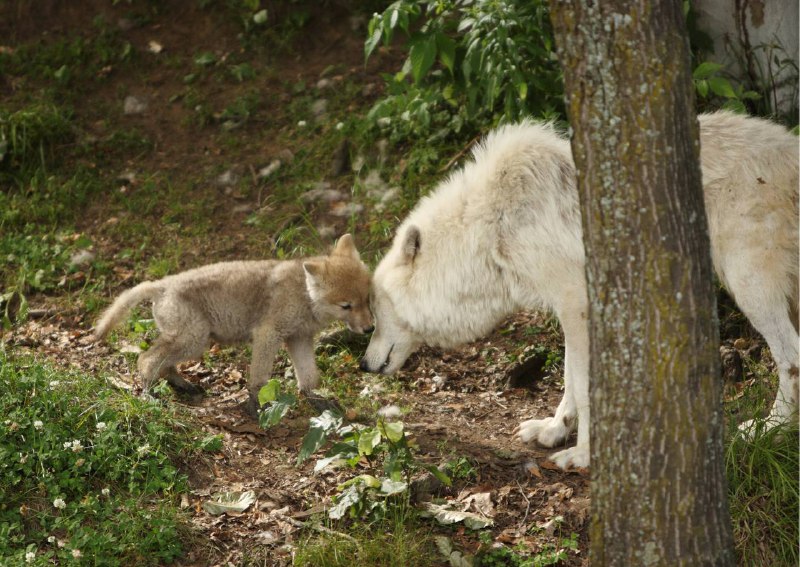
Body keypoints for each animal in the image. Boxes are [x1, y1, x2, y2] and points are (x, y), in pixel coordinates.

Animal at [364, 111, 800, 470]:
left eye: (376, 310)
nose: (364, 365)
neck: (491, 226)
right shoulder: (570, 307)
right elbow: (570, 379)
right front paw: (554, 430)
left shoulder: (577, 305)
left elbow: (585, 388)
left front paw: (585, 455)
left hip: (747, 285)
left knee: (790, 357)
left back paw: (770, 429)